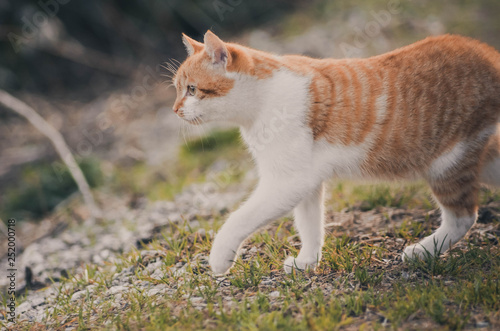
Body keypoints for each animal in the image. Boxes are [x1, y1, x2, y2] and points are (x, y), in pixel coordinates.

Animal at [172, 30, 500, 274]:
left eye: (192, 90)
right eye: (177, 89)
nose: (174, 110)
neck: (262, 100)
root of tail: (488, 54)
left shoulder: (287, 182)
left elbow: (239, 218)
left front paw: (220, 257)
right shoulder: (306, 181)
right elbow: (310, 225)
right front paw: (307, 262)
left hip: (447, 163)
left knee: (462, 217)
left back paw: (423, 251)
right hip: (481, 160)